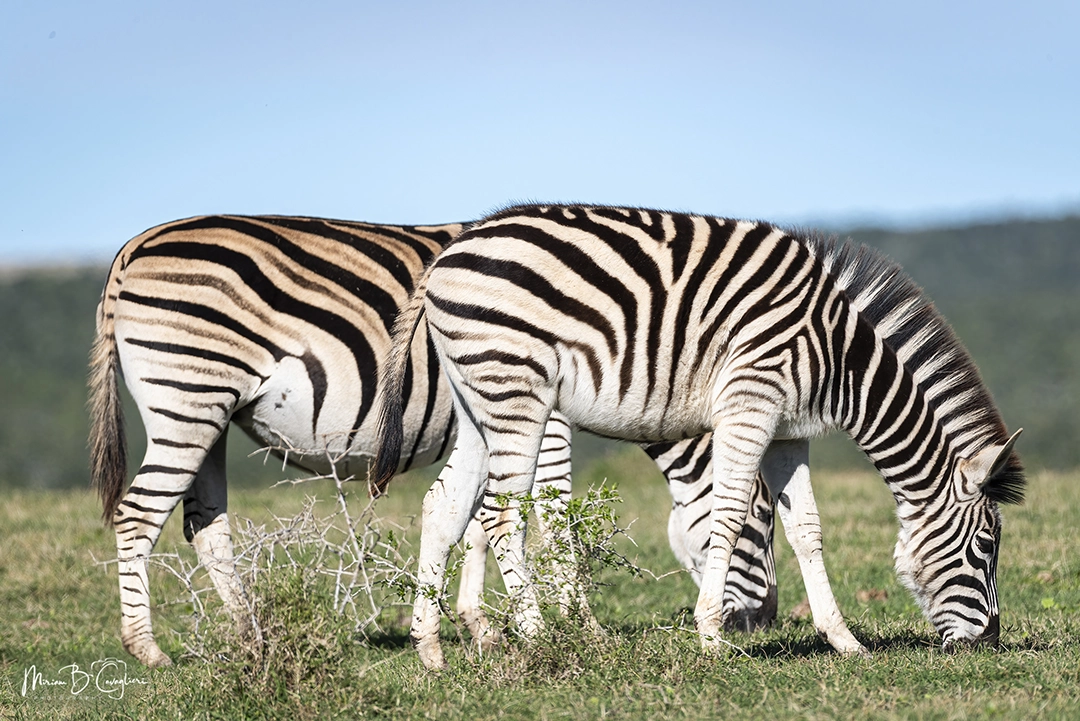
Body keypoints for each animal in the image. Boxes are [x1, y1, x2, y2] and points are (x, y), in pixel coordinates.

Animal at [88, 214, 778, 668]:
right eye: (756, 528)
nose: (761, 626)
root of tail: (131, 250)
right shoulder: (547, 413)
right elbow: (546, 515)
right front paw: (581, 629)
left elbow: (474, 522)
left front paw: (479, 627)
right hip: (188, 394)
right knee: (138, 514)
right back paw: (147, 649)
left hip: (208, 411)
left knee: (206, 523)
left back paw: (250, 638)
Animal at [373, 203, 1024, 671]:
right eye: (985, 547)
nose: (989, 645)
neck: (841, 363)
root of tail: (448, 253)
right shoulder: (751, 401)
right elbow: (729, 516)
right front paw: (711, 638)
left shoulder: (789, 434)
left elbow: (808, 531)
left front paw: (842, 641)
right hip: (516, 388)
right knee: (503, 512)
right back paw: (534, 637)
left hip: (477, 399)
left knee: (446, 504)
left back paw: (430, 649)